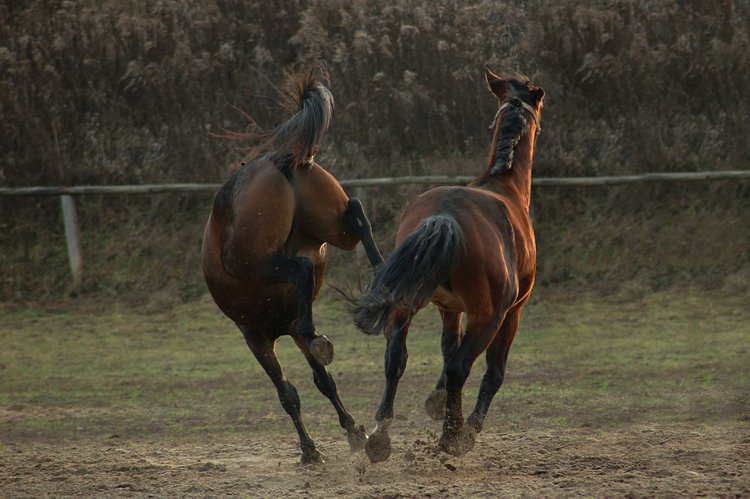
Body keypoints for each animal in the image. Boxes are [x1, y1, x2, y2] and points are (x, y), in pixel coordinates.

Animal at [201, 65, 382, 464]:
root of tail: (277, 162)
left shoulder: (256, 339)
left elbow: (288, 394)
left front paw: (310, 449)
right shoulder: (287, 331)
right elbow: (323, 381)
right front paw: (353, 432)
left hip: (258, 263)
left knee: (300, 266)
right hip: (333, 226)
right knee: (358, 214)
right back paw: (381, 284)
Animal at [354, 70, 548, 464]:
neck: (504, 187)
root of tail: (445, 217)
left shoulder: (448, 308)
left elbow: (445, 348)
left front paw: (436, 399)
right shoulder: (512, 313)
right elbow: (491, 372)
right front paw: (466, 428)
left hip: (405, 302)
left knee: (396, 357)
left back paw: (381, 435)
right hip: (488, 317)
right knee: (463, 367)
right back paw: (453, 437)